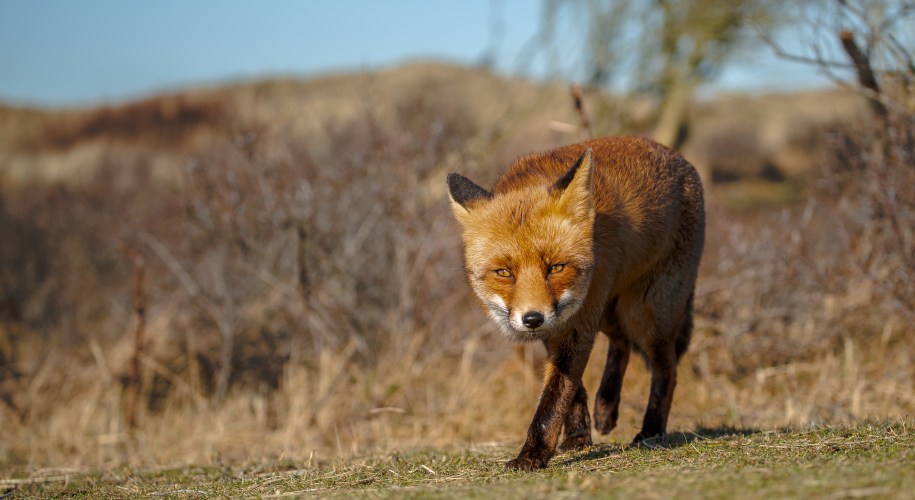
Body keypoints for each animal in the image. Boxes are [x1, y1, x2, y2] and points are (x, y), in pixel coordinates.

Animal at [446, 136, 704, 470]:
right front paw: (578, 437)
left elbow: (554, 399)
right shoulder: (558, 327)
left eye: (556, 267)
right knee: (621, 343)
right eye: (504, 272)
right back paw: (606, 406)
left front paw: (532, 455)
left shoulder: (577, 325)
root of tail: (678, 156)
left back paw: (651, 431)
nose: (532, 319)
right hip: (610, 311)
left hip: (646, 314)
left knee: (667, 367)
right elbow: (572, 389)